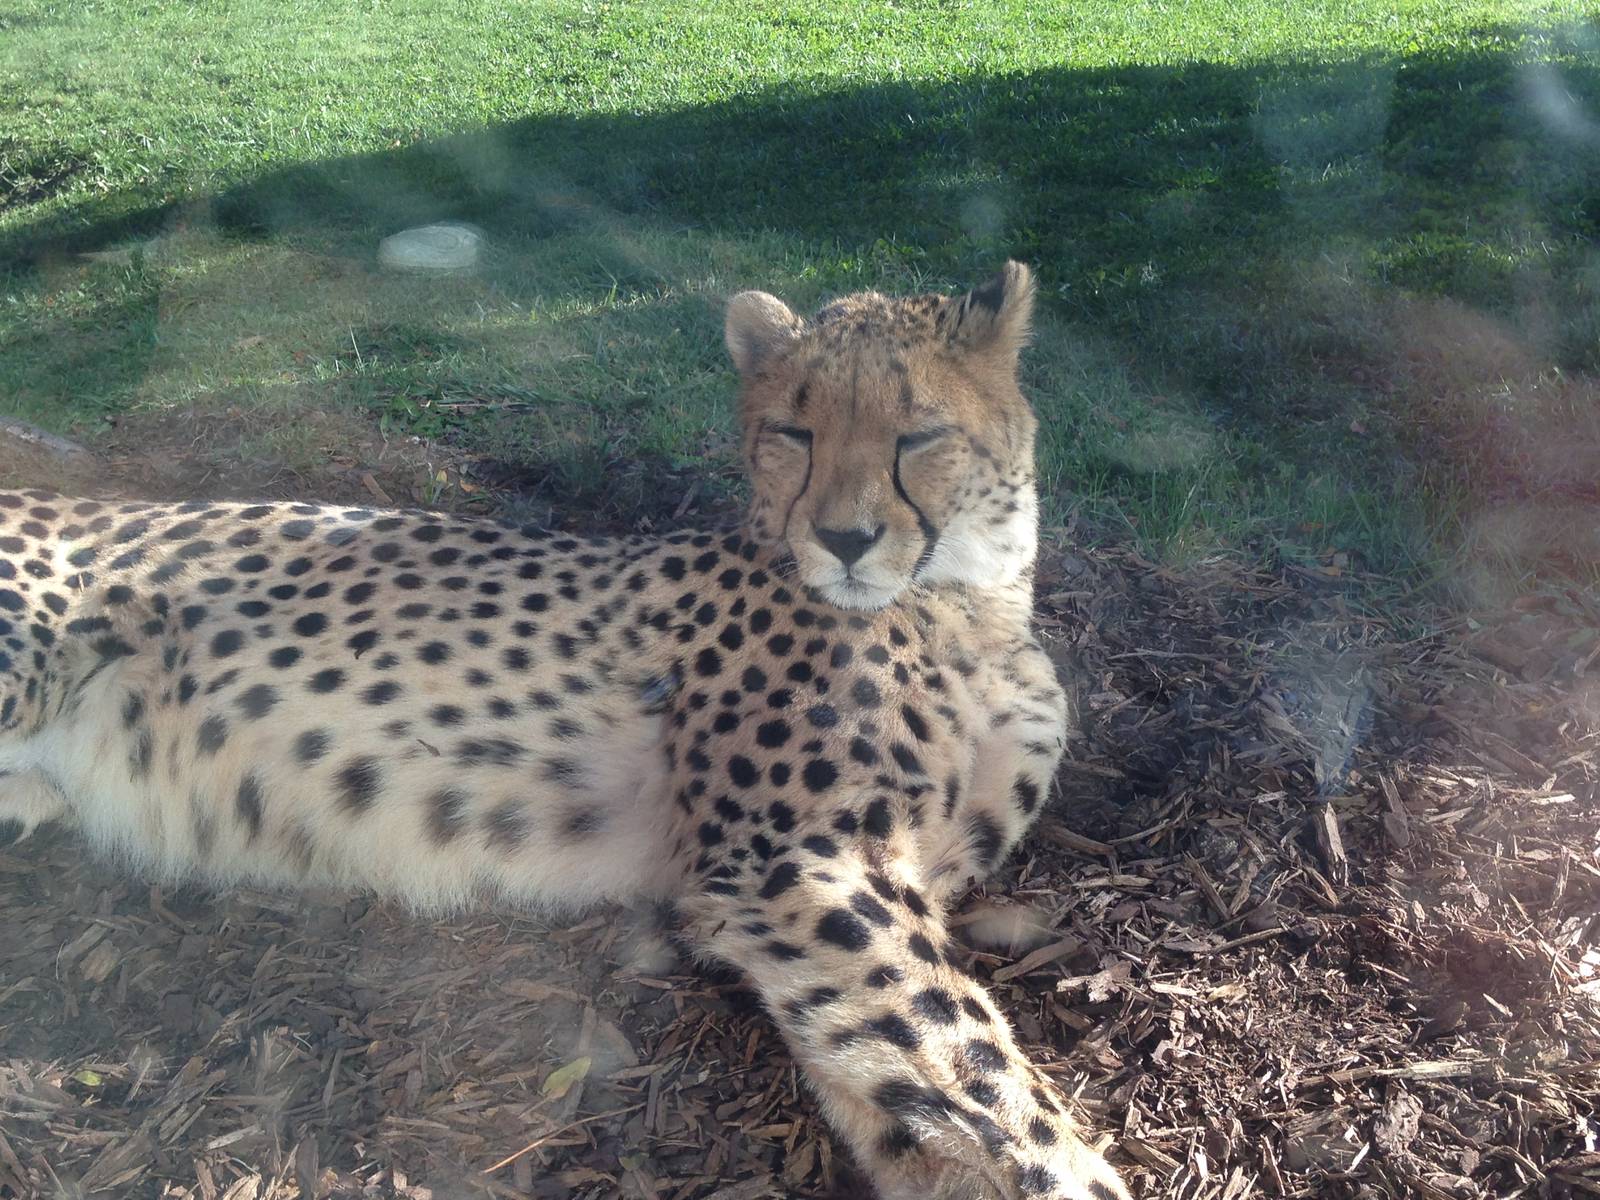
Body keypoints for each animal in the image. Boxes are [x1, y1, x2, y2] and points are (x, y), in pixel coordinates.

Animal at [0, 262, 1130, 1200]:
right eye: (794, 432)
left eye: (918, 434)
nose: (844, 539)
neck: (970, 601)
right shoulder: (796, 863)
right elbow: (978, 1064)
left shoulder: (843, 888)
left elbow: (910, 1086)